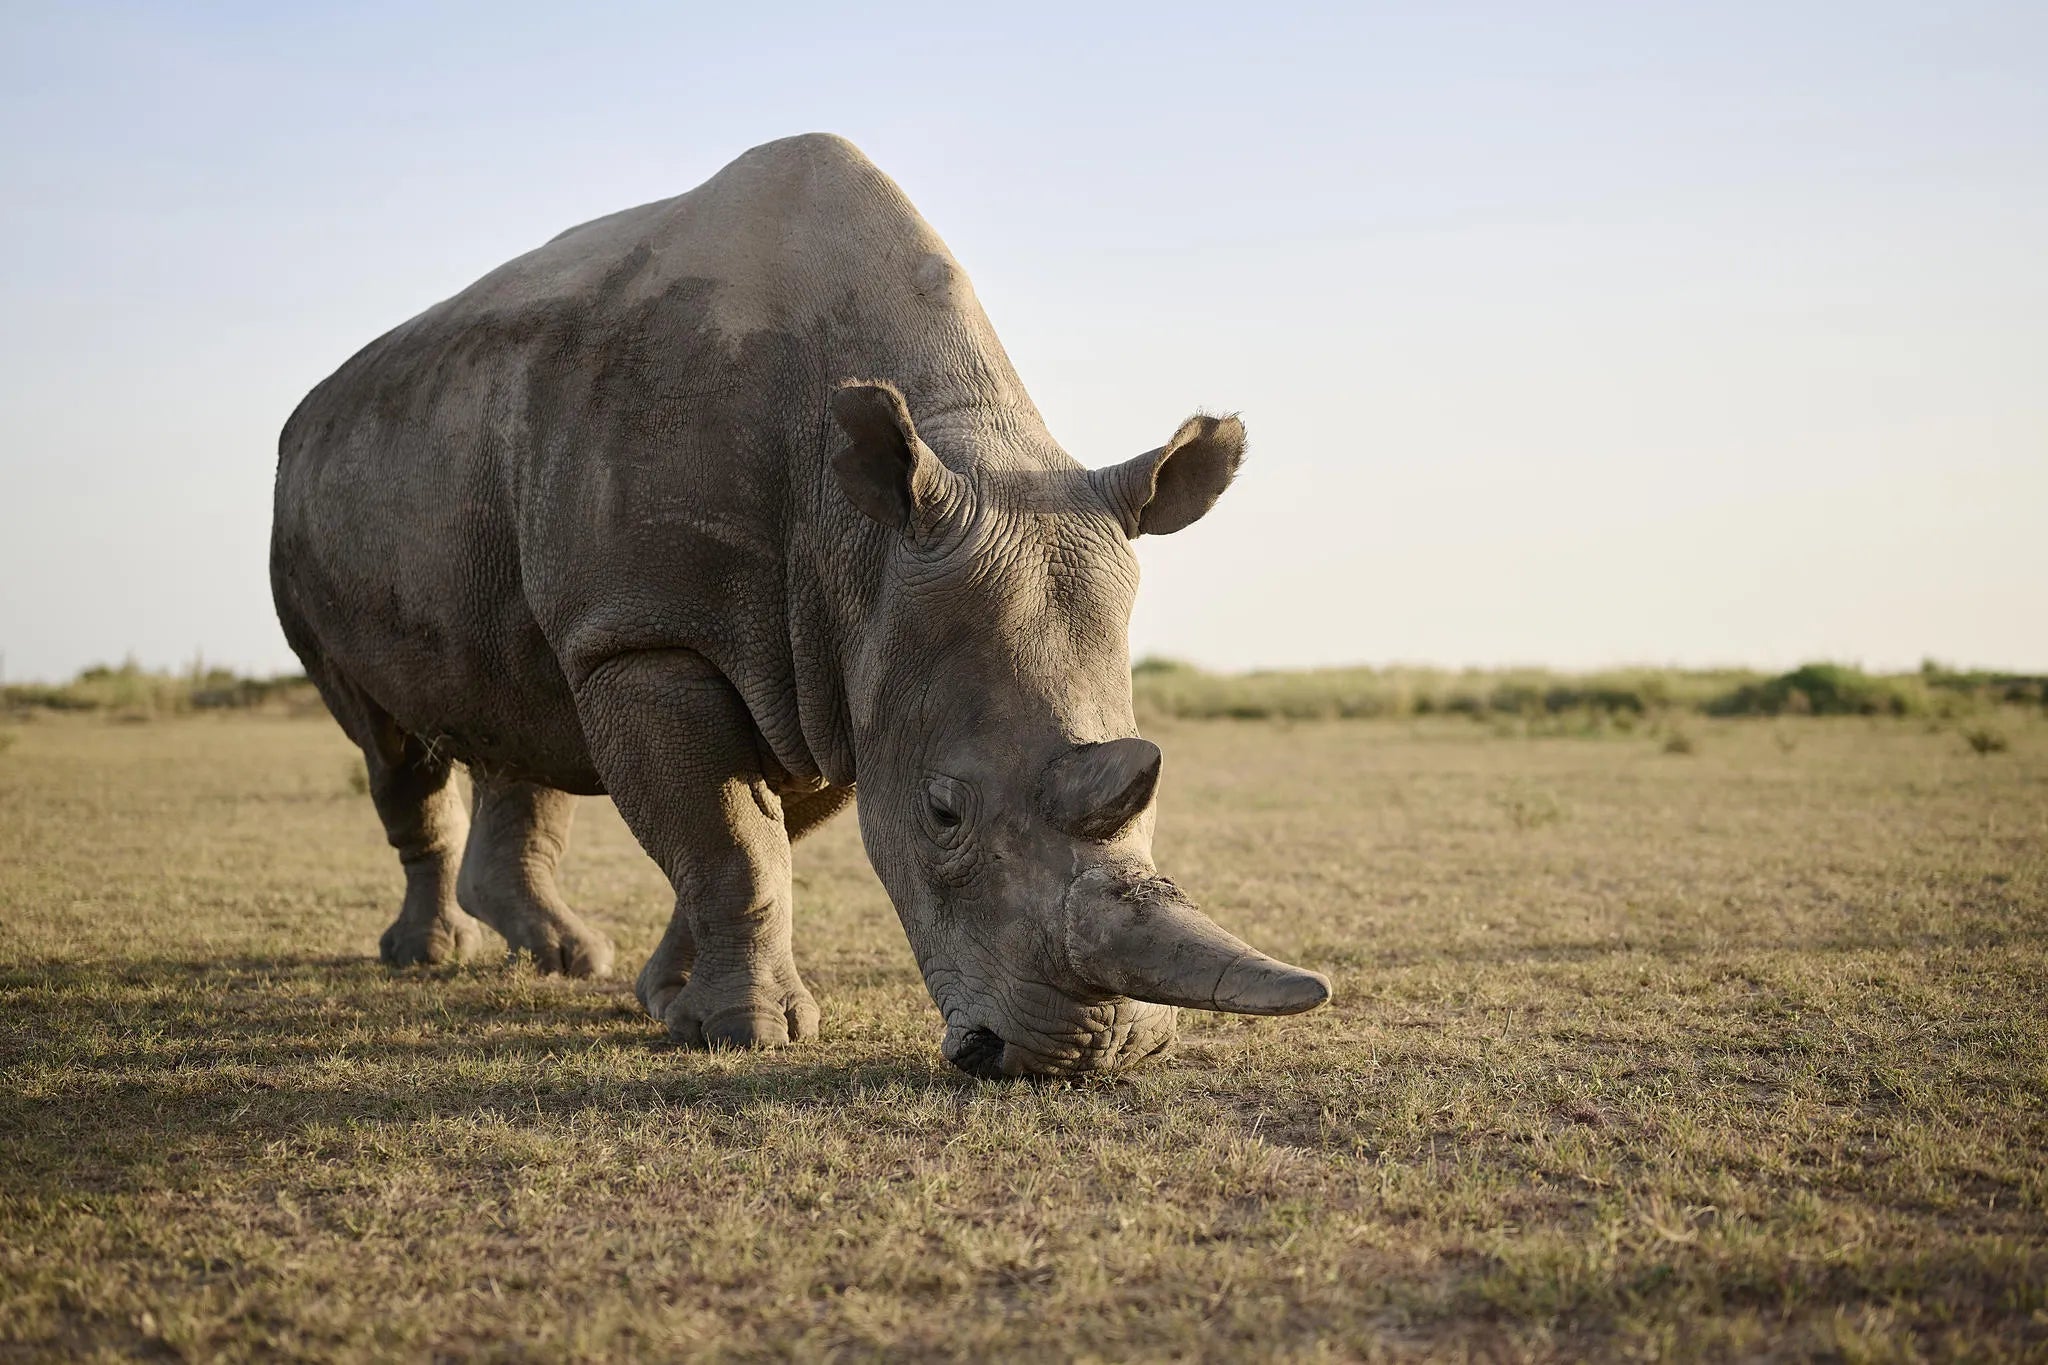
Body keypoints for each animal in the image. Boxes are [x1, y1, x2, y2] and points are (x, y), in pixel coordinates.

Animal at [270, 132, 1330, 1077]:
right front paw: (749, 1032)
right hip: (311, 509)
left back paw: (566, 957)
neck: (858, 536)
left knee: (519, 704)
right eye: (944, 813)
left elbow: (741, 831)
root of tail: (311, 408)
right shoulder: (656, 637)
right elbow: (736, 842)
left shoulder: (833, 664)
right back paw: (428, 955)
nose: (1088, 1057)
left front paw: (673, 1001)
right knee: (392, 743)